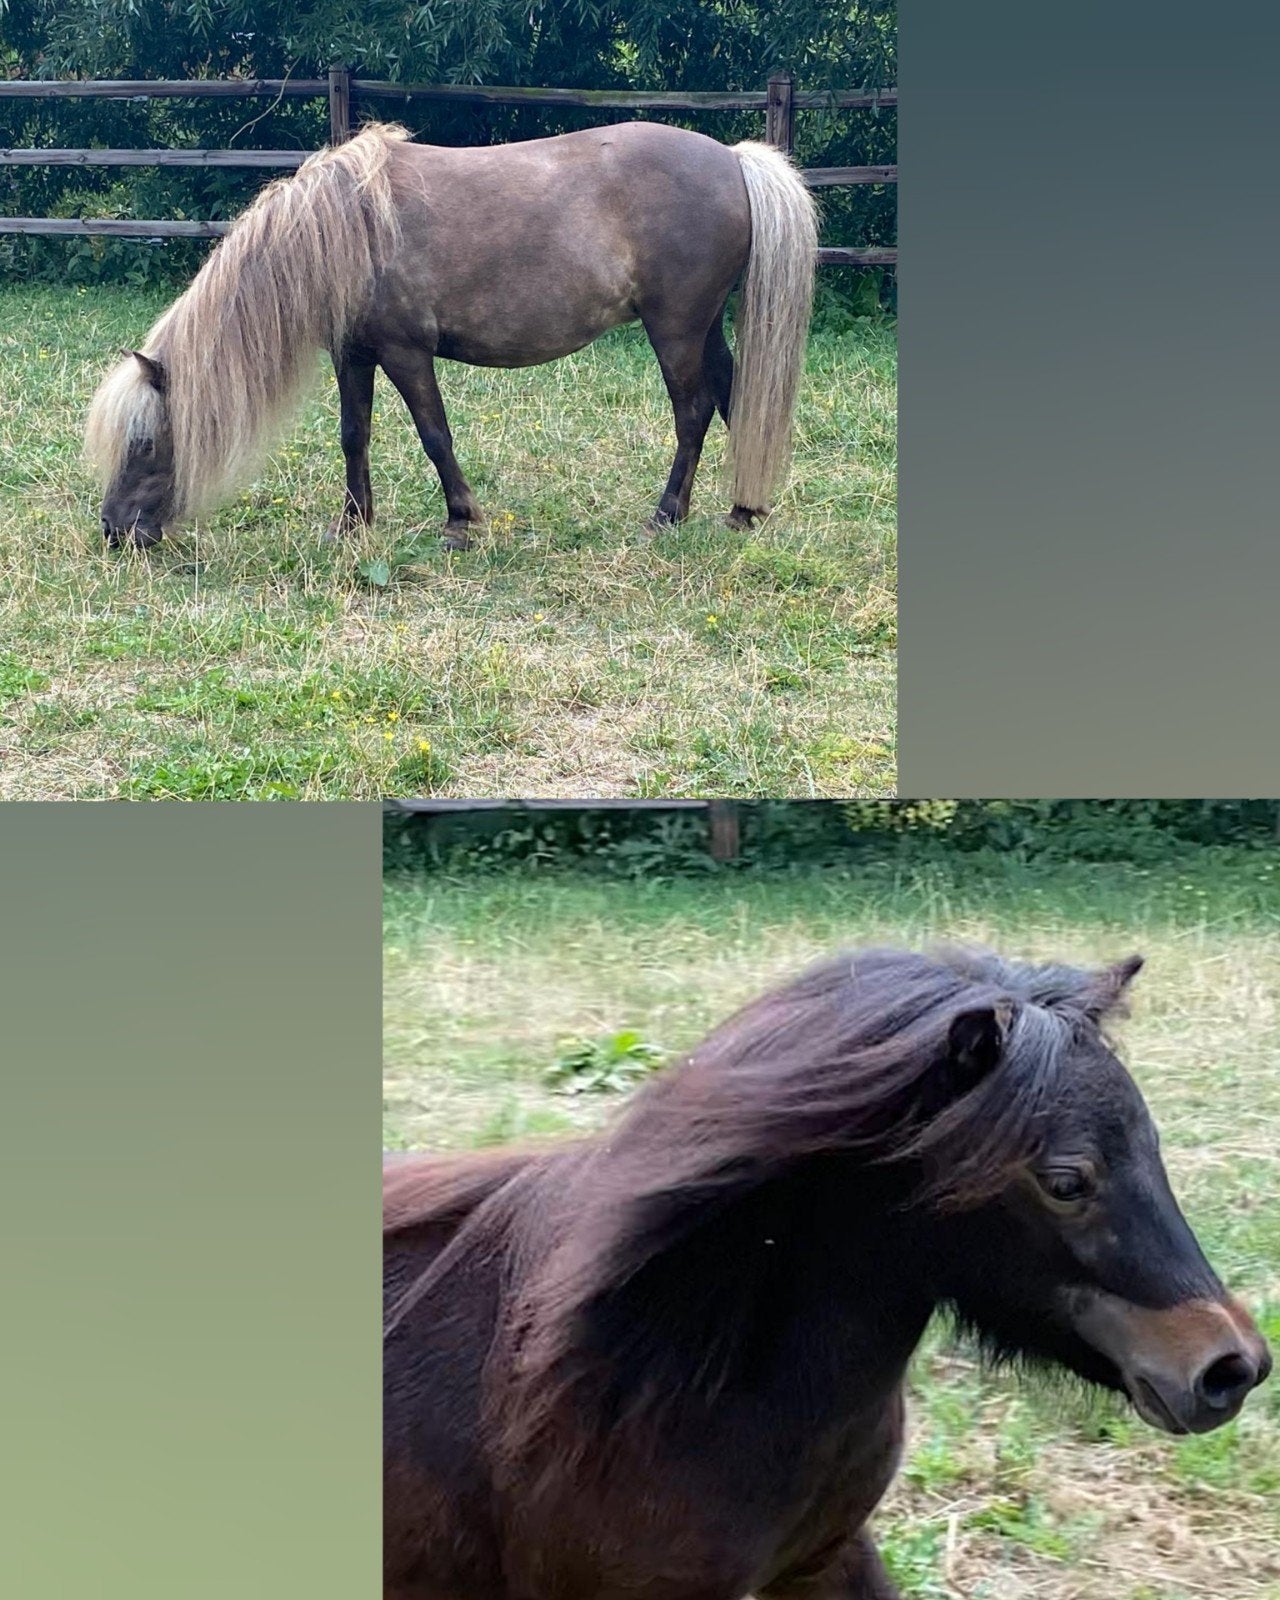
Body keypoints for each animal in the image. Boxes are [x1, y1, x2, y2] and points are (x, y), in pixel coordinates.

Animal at [84, 120, 818, 553]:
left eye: (145, 440)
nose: (115, 530)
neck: (345, 226)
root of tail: (733, 159)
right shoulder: (353, 352)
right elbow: (353, 434)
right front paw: (353, 523)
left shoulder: (406, 353)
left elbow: (435, 436)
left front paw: (462, 523)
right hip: (704, 328)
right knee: (734, 400)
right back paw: (744, 511)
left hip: (676, 330)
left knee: (693, 411)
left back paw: (668, 516)